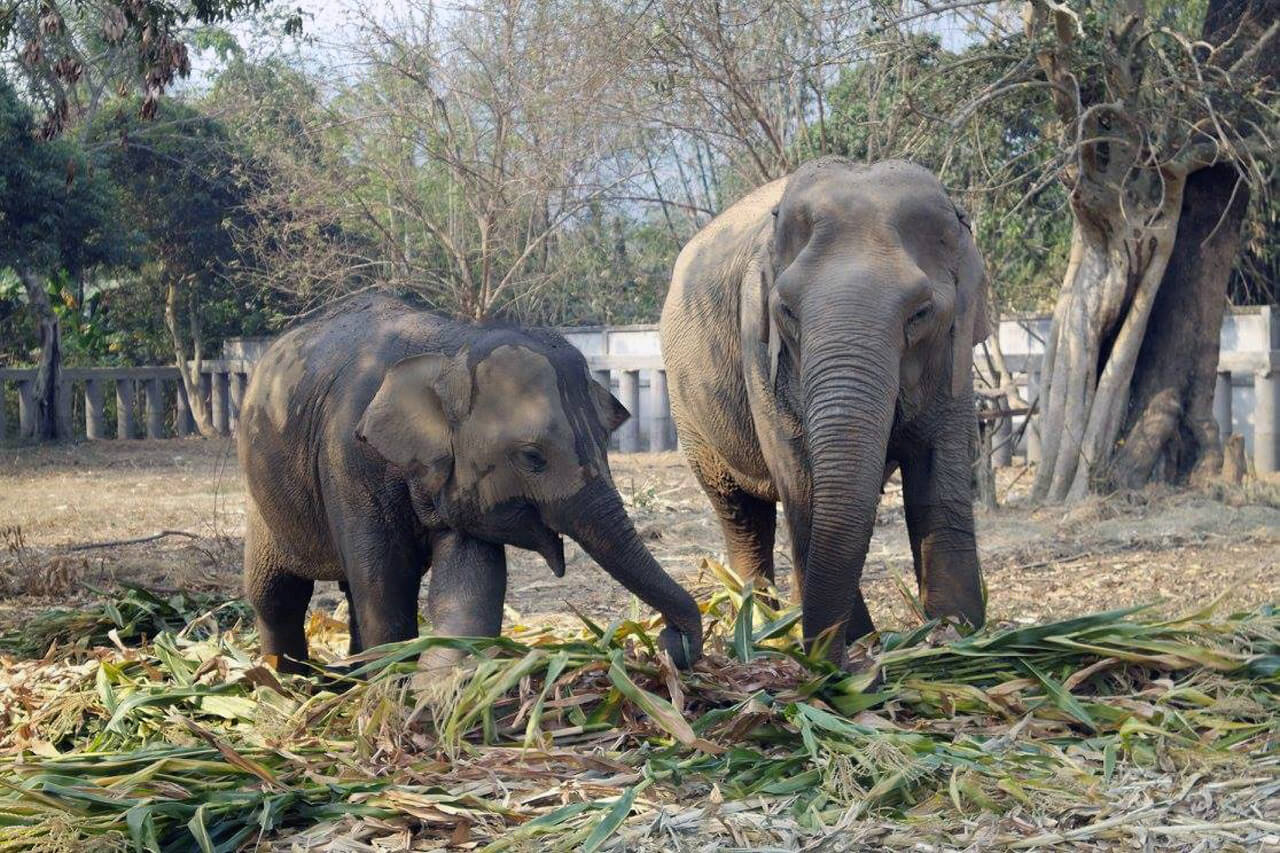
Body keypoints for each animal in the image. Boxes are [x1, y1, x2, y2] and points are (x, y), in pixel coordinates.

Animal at [238, 295, 703, 673]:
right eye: (532, 457)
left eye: (607, 440)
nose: (667, 644)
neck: (452, 346)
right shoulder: (349, 461)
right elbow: (385, 592)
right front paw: (391, 689)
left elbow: (470, 589)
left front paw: (432, 689)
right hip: (264, 500)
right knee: (277, 593)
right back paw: (288, 683)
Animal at [660, 157, 989, 669]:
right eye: (787, 310)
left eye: (920, 313)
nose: (846, 665)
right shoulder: (760, 352)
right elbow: (804, 487)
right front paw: (857, 645)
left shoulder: (954, 361)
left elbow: (938, 479)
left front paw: (957, 637)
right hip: (689, 412)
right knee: (739, 512)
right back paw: (762, 627)